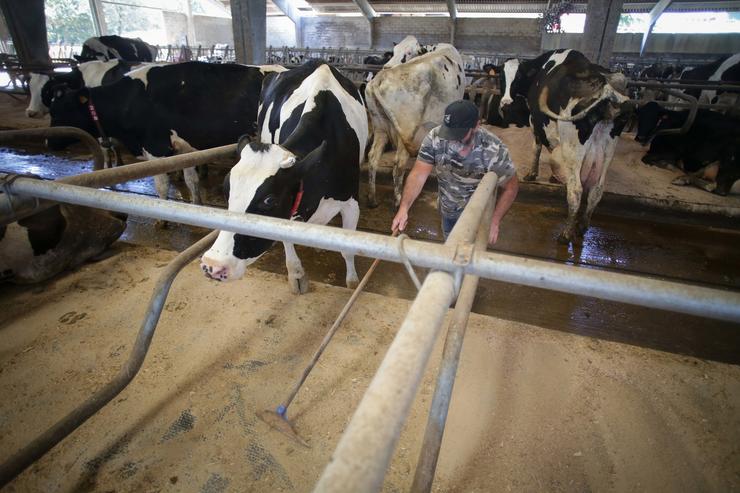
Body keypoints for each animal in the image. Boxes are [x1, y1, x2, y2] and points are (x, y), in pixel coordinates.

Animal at [48, 61, 274, 206]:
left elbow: (161, 185)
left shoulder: (155, 148)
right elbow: (191, 181)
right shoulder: (184, 150)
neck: (129, 101)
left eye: (60, 111)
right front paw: (196, 204)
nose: (49, 143)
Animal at [199, 60, 368, 292]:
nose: (213, 265)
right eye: (227, 190)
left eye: (269, 200)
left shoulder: (352, 201)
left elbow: (348, 249)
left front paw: (352, 282)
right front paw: (296, 275)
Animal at [500, 48, 628, 244]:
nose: (505, 105)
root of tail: (606, 90)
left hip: (573, 148)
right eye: (502, 76)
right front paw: (553, 178)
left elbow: (538, 147)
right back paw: (582, 225)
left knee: (576, 190)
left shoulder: (535, 122)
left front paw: (533, 174)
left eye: (518, 76)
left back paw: (566, 233)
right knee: (597, 190)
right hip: (608, 150)